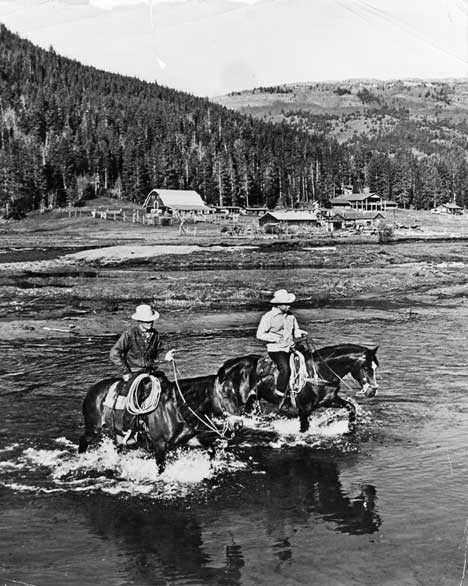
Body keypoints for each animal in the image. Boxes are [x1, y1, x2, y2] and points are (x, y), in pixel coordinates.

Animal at [77, 370, 241, 470]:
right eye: (225, 394)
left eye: (237, 395)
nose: (238, 424)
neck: (176, 407)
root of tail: (93, 390)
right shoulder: (159, 444)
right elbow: (161, 468)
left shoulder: (189, 438)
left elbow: (211, 449)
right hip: (94, 427)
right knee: (84, 441)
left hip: (118, 433)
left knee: (117, 446)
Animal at [218, 340, 378, 432]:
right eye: (366, 368)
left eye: (376, 366)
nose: (372, 391)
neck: (319, 371)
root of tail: (229, 365)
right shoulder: (304, 409)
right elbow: (304, 429)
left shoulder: (329, 400)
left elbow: (351, 407)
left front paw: (351, 428)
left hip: (252, 400)